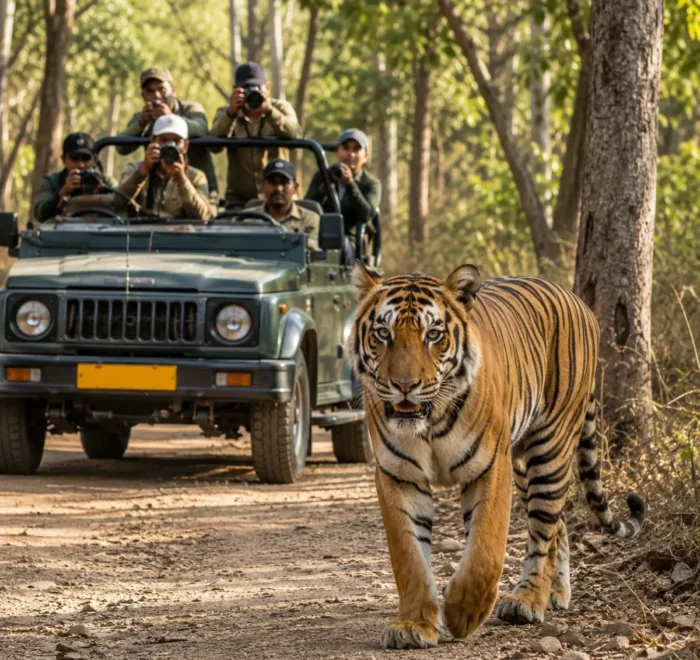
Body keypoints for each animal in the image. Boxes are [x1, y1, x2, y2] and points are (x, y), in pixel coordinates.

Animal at [347, 261, 645, 650]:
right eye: (383, 333)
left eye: (433, 335)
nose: (404, 386)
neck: (430, 420)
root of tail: (577, 301)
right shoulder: (398, 474)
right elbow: (408, 557)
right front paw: (413, 625)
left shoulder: (490, 466)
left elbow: (485, 550)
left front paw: (463, 613)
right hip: (523, 466)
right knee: (559, 524)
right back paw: (555, 594)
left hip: (549, 448)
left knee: (543, 530)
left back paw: (528, 601)